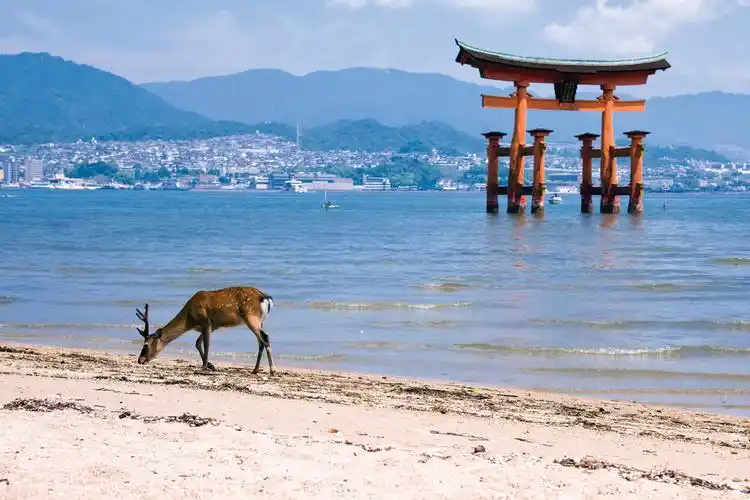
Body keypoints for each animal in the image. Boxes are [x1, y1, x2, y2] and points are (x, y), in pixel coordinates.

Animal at [135, 286, 276, 376]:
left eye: (146, 345)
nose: (140, 360)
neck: (190, 319)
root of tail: (265, 298)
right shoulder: (211, 327)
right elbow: (198, 343)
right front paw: (210, 365)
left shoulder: (206, 322)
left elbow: (206, 344)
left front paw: (204, 367)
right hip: (259, 321)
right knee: (260, 341)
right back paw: (255, 370)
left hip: (251, 317)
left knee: (265, 337)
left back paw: (272, 370)